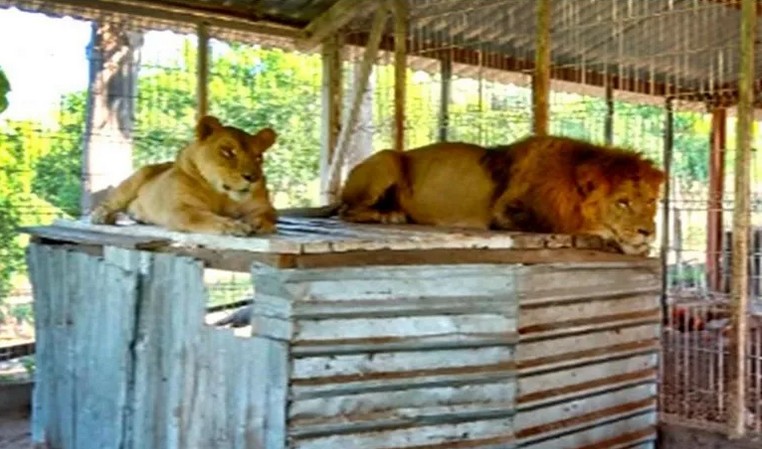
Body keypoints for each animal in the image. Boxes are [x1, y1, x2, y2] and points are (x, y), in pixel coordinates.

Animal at [90, 114, 278, 236]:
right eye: (228, 152)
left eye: (258, 157)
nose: (253, 178)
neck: (222, 195)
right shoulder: (181, 209)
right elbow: (207, 218)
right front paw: (234, 226)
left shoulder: (263, 206)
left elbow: (267, 215)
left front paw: (256, 223)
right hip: (137, 177)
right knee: (110, 202)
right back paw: (101, 216)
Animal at [284, 134, 660, 256]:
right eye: (622, 202)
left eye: (651, 202)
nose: (649, 232)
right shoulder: (508, 212)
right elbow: (573, 226)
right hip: (388, 157)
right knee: (348, 210)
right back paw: (388, 214)